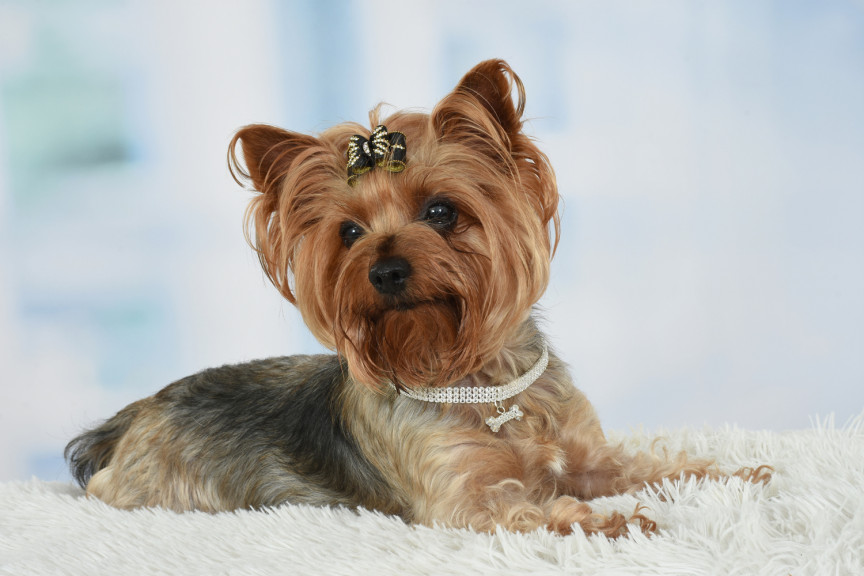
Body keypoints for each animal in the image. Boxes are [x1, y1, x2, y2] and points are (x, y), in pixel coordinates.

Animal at [66, 59, 769, 537]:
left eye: (441, 211)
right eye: (348, 233)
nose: (385, 271)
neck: (481, 379)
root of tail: (129, 416)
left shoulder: (589, 456)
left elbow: (651, 465)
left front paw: (734, 475)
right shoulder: (466, 499)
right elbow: (536, 508)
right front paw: (608, 522)